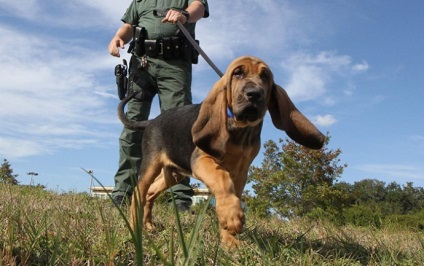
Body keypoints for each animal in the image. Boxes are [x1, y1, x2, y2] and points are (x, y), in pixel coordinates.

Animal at [117, 55, 326, 247]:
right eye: (237, 73)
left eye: (265, 76)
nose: (254, 94)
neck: (240, 127)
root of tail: (151, 121)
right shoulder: (202, 161)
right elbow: (222, 181)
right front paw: (231, 216)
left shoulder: (241, 173)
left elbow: (233, 192)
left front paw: (229, 242)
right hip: (151, 166)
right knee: (138, 193)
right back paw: (135, 228)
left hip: (173, 174)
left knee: (151, 193)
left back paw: (148, 226)